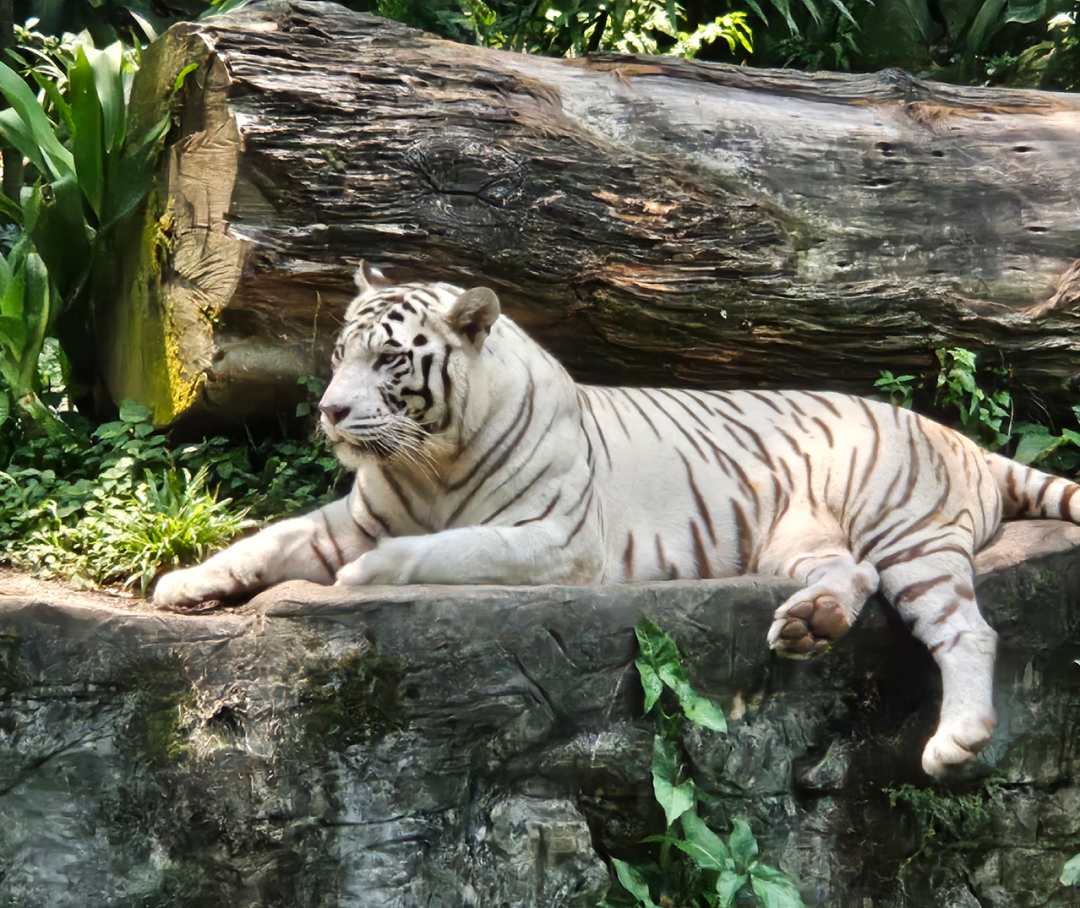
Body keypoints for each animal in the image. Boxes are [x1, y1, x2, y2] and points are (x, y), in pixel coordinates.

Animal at [157, 262, 1080, 777]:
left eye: (387, 360)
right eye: (339, 353)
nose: (331, 412)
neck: (429, 458)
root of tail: (956, 436)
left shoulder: (554, 543)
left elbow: (446, 547)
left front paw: (367, 575)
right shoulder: (351, 517)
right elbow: (269, 538)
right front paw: (182, 583)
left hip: (906, 530)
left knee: (969, 629)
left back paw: (957, 740)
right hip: (798, 536)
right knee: (847, 574)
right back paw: (809, 626)